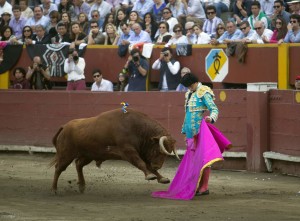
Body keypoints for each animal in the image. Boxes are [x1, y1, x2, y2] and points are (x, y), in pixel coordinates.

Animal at [50, 109, 179, 193]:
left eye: (167, 153)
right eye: (158, 150)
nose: (158, 166)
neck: (137, 128)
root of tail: (65, 126)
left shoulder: (140, 153)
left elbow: (148, 165)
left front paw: (162, 178)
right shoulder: (129, 151)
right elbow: (141, 163)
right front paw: (150, 176)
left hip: (89, 154)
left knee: (78, 164)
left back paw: (81, 186)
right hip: (66, 154)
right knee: (59, 168)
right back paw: (54, 189)